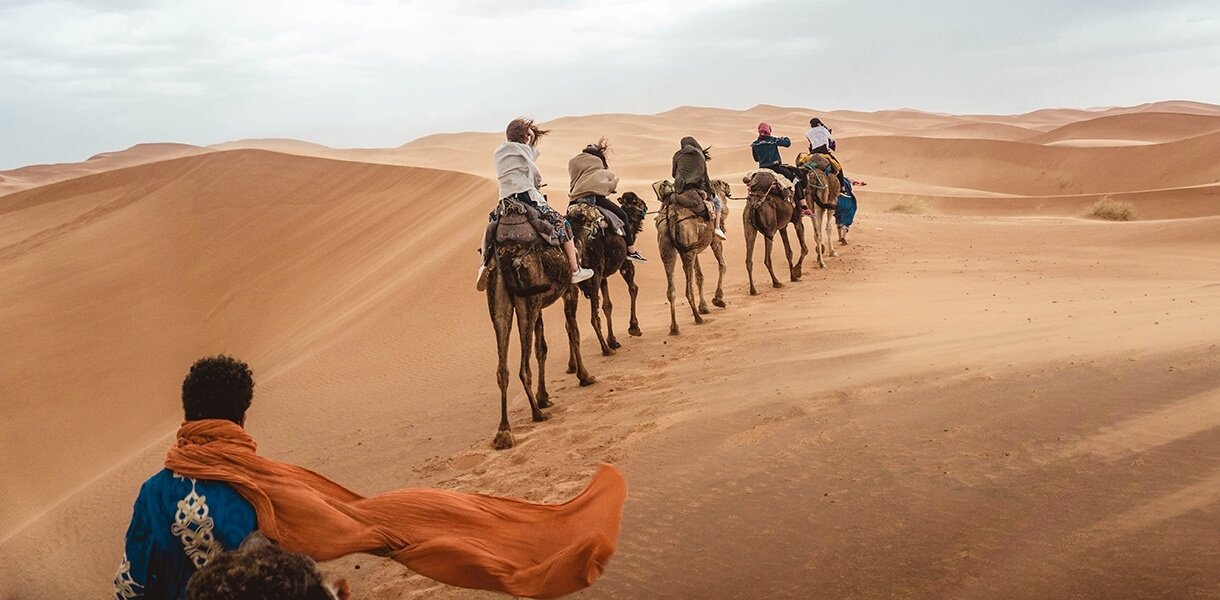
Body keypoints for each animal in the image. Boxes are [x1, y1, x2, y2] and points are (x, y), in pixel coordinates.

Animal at [490, 203, 595, 448]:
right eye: (590, 212)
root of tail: (507, 258)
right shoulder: (569, 291)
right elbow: (573, 332)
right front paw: (585, 376)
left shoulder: (539, 307)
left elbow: (542, 348)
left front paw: (544, 396)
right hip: (526, 304)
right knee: (522, 367)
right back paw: (537, 414)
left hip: (501, 303)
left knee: (503, 369)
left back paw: (504, 432)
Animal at [566, 190, 649, 353]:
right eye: (636, 201)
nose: (645, 205)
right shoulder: (625, 263)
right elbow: (633, 288)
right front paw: (634, 327)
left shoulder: (603, 275)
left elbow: (607, 305)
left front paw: (613, 340)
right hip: (594, 275)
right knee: (593, 318)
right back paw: (605, 349)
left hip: (574, 283)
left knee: (569, 323)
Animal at [653, 180, 727, 334]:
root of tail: (672, 216)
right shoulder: (714, 241)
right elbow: (722, 265)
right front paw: (718, 299)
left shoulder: (695, 249)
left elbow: (699, 276)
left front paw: (704, 307)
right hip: (687, 252)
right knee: (688, 289)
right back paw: (698, 318)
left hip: (669, 249)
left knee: (671, 289)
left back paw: (674, 328)